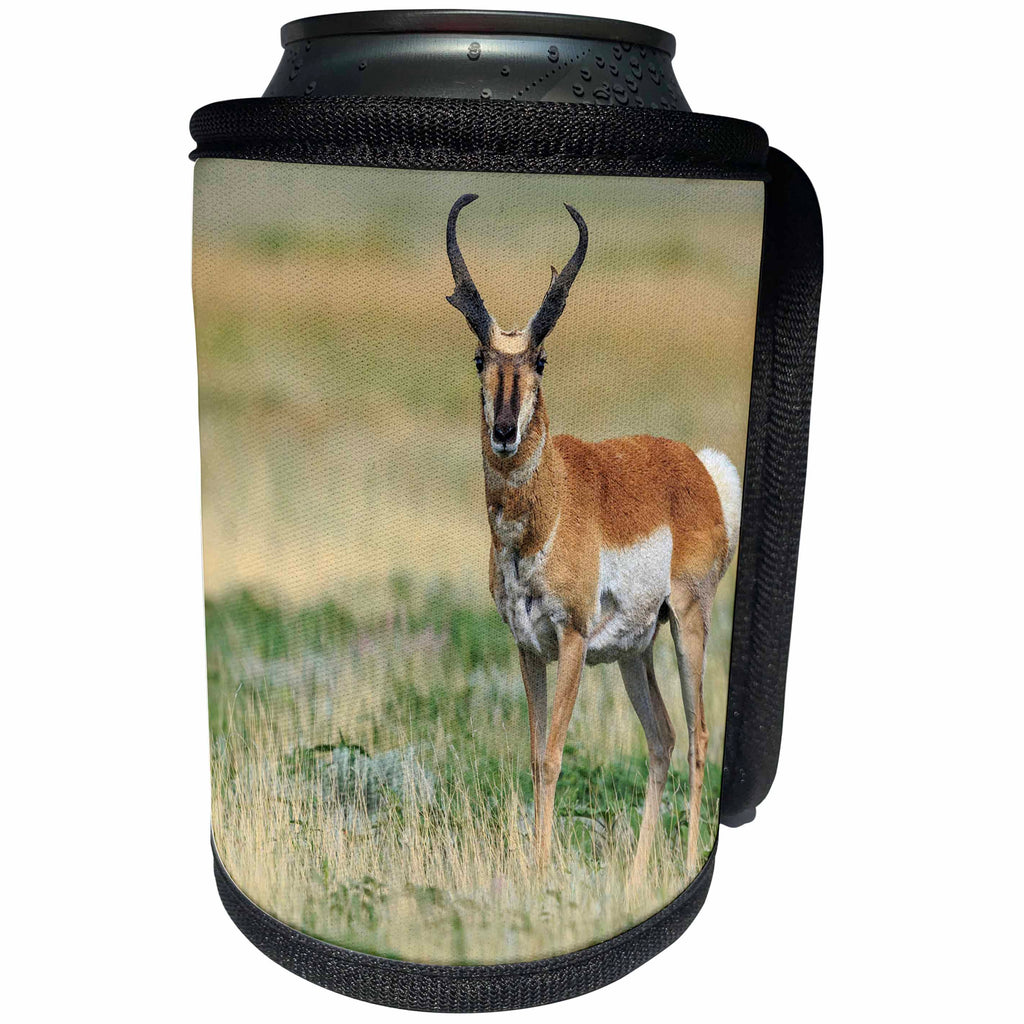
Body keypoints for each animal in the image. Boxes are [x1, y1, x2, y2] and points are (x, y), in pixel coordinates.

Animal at [445, 194, 742, 878]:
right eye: (480, 359)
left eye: (539, 360)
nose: (504, 431)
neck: (545, 513)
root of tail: (699, 468)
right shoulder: (528, 647)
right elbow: (533, 756)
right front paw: (534, 864)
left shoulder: (574, 641)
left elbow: (554, 755)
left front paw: (538, 871)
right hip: (636, 652)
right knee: (662, 737)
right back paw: (633, 878)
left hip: (688, 626)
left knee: (698, 738)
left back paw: (686, 862)